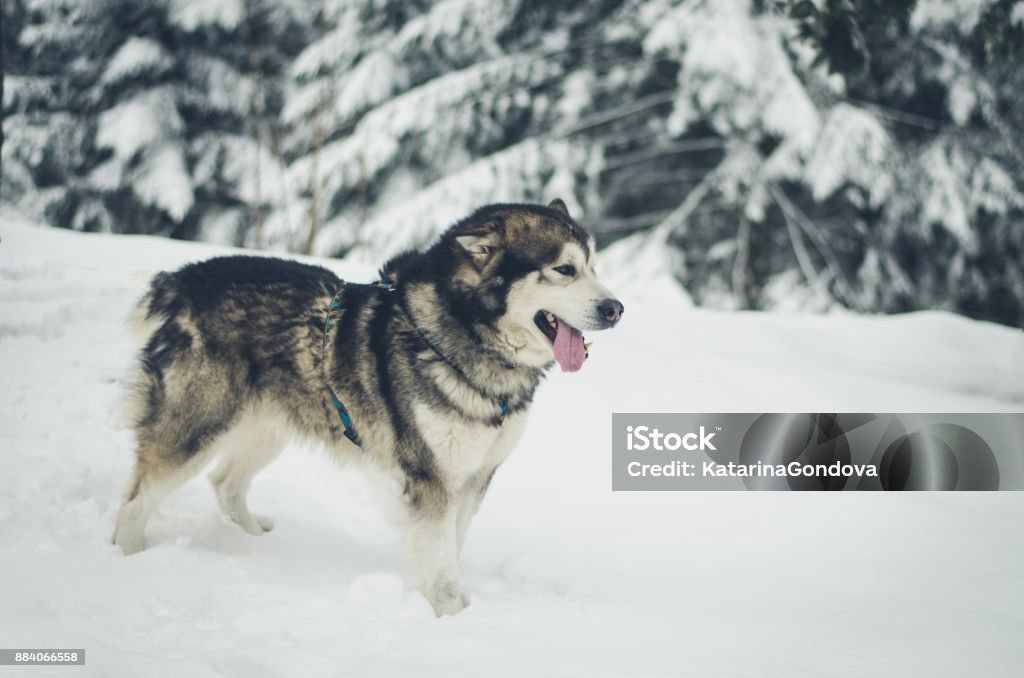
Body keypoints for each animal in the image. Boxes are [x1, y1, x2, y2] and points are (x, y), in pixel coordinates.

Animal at [112, 199, 622, 618]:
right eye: (564, 269)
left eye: (593, 267)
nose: (616, 308)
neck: (461, 339)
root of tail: (184, 279)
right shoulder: (431, 478)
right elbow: (440, 558)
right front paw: (453, 618)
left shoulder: (475, 477)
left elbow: (450, 547)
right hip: (193, 430)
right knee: (136, 501)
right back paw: (129, 561)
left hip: (265, 428)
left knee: (225, 484)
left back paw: (255, 545)